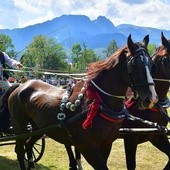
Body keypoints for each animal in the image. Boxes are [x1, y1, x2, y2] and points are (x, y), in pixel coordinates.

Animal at [0, 33, 158, 169]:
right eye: (134, 65)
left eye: (152, 65)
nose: (151, 99)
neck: (100, 102)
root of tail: (20, 86)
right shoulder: (87, 148)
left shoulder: (106, 145)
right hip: (20, 127)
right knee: (19, 150)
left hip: (38, 127)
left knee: (28, 144)